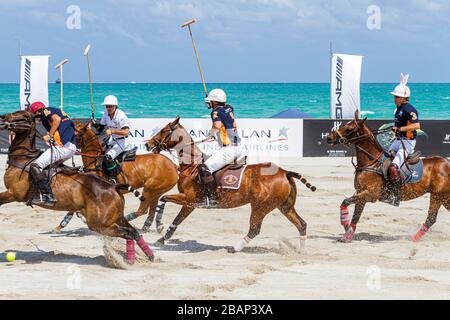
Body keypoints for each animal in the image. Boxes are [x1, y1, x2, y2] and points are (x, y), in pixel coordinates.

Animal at [0, 110, 155, 264]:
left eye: (24, 116)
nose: (2, 118)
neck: (23, 158)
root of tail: (113, 187)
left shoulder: (14, 193)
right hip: (116, 217)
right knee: (133, 231)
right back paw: (148, 256)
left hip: (99, 223)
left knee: (128, 232)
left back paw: (127, 262)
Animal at [144, 116, 316, 254]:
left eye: (164, 130)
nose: (147, 145)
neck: (192, 166)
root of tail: (285, 172)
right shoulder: (190, 204)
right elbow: (176, 220)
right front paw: (162, 238)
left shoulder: (189, 199)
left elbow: (164, 199)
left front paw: (157, 225)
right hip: (284, 206)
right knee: (301, 224)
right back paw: (302, 252)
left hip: (260, 206)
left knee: (254, 229)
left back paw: (235, 248)